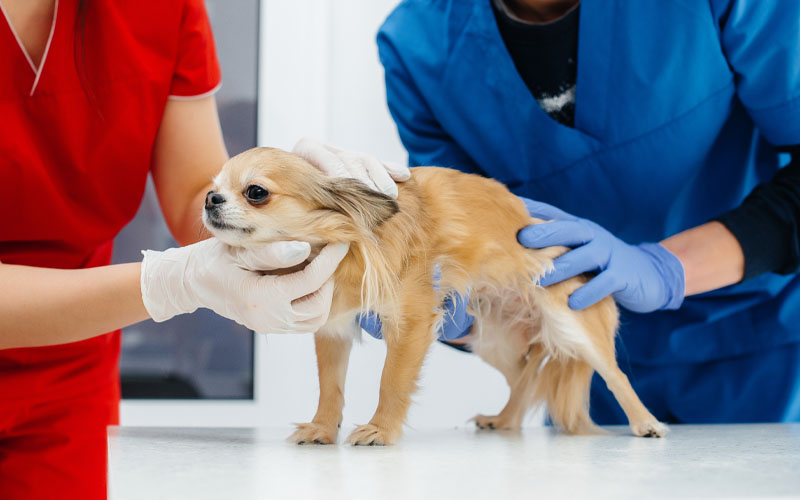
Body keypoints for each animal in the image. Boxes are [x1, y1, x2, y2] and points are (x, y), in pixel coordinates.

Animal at [203, 146, 664, 444]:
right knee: (524, 380)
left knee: (616, 375)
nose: (209, 198)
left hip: (569, 320)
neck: (348, 244)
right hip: (493, 341)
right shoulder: (333, 329)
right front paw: (322, 428)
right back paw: (505, 419)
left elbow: (391, 382)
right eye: (213, 186)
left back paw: (646, 423)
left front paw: (381, 430)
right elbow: (330, 387)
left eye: (256, 192)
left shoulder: (411, 325)